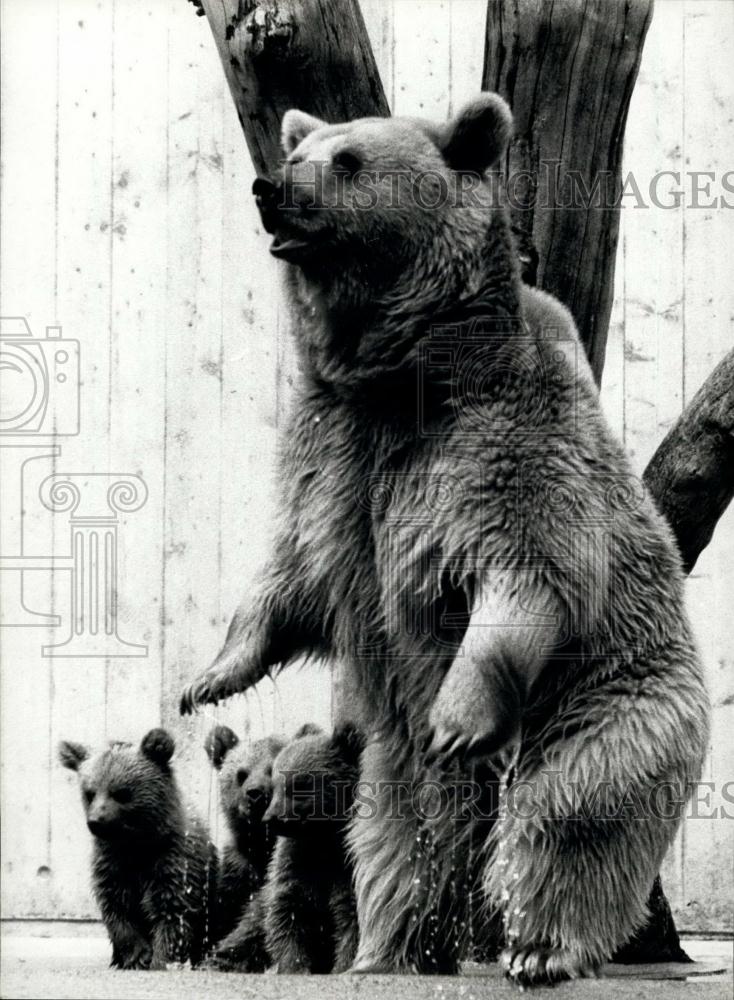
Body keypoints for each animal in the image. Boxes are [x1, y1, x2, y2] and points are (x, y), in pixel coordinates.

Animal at [59, 728, 217, 969]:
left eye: (121, 793)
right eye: (90, 793)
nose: (96, 821)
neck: (136, 844)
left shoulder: (173, 861)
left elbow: (174, 911)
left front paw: (162, 959)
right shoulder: (112, 863)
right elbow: (117, 910)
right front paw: (136, 956)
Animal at [260, 721, 364, 973]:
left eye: (300, 784)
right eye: (274, 786)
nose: (271, 818)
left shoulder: (345, 865)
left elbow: (350, 917)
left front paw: (342, 966)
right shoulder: (297, 858)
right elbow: (287, 909)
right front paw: (294, 965)